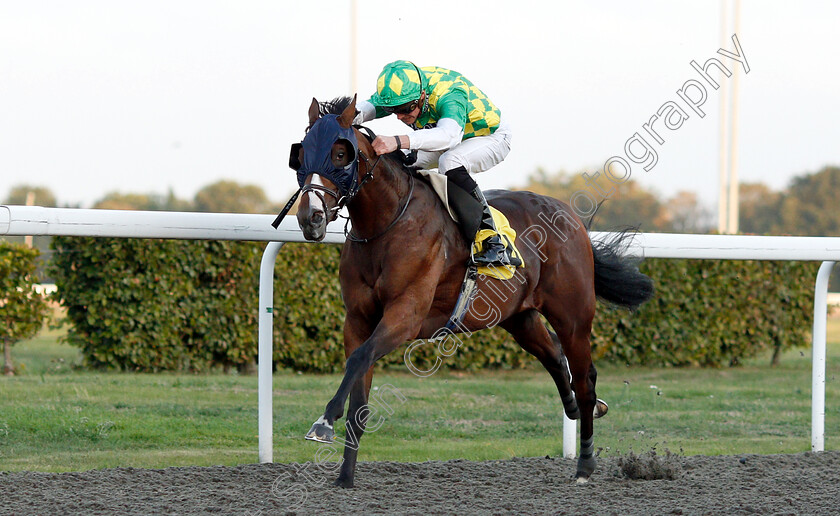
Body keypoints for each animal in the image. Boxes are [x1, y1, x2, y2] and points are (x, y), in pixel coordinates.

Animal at [290, 95, 656, 488]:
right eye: (302, 152)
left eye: (341, 154)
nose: (310, 217)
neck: (386, 225)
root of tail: (570, 216)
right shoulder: (357, 320)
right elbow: (359, 390)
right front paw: (344, 476)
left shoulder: (405, 315)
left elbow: (359, 361)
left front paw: (323, 423)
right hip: (520, 318)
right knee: (556, 358)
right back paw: (575, 407)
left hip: (573, 316)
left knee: (585, 378)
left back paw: (585, 464)